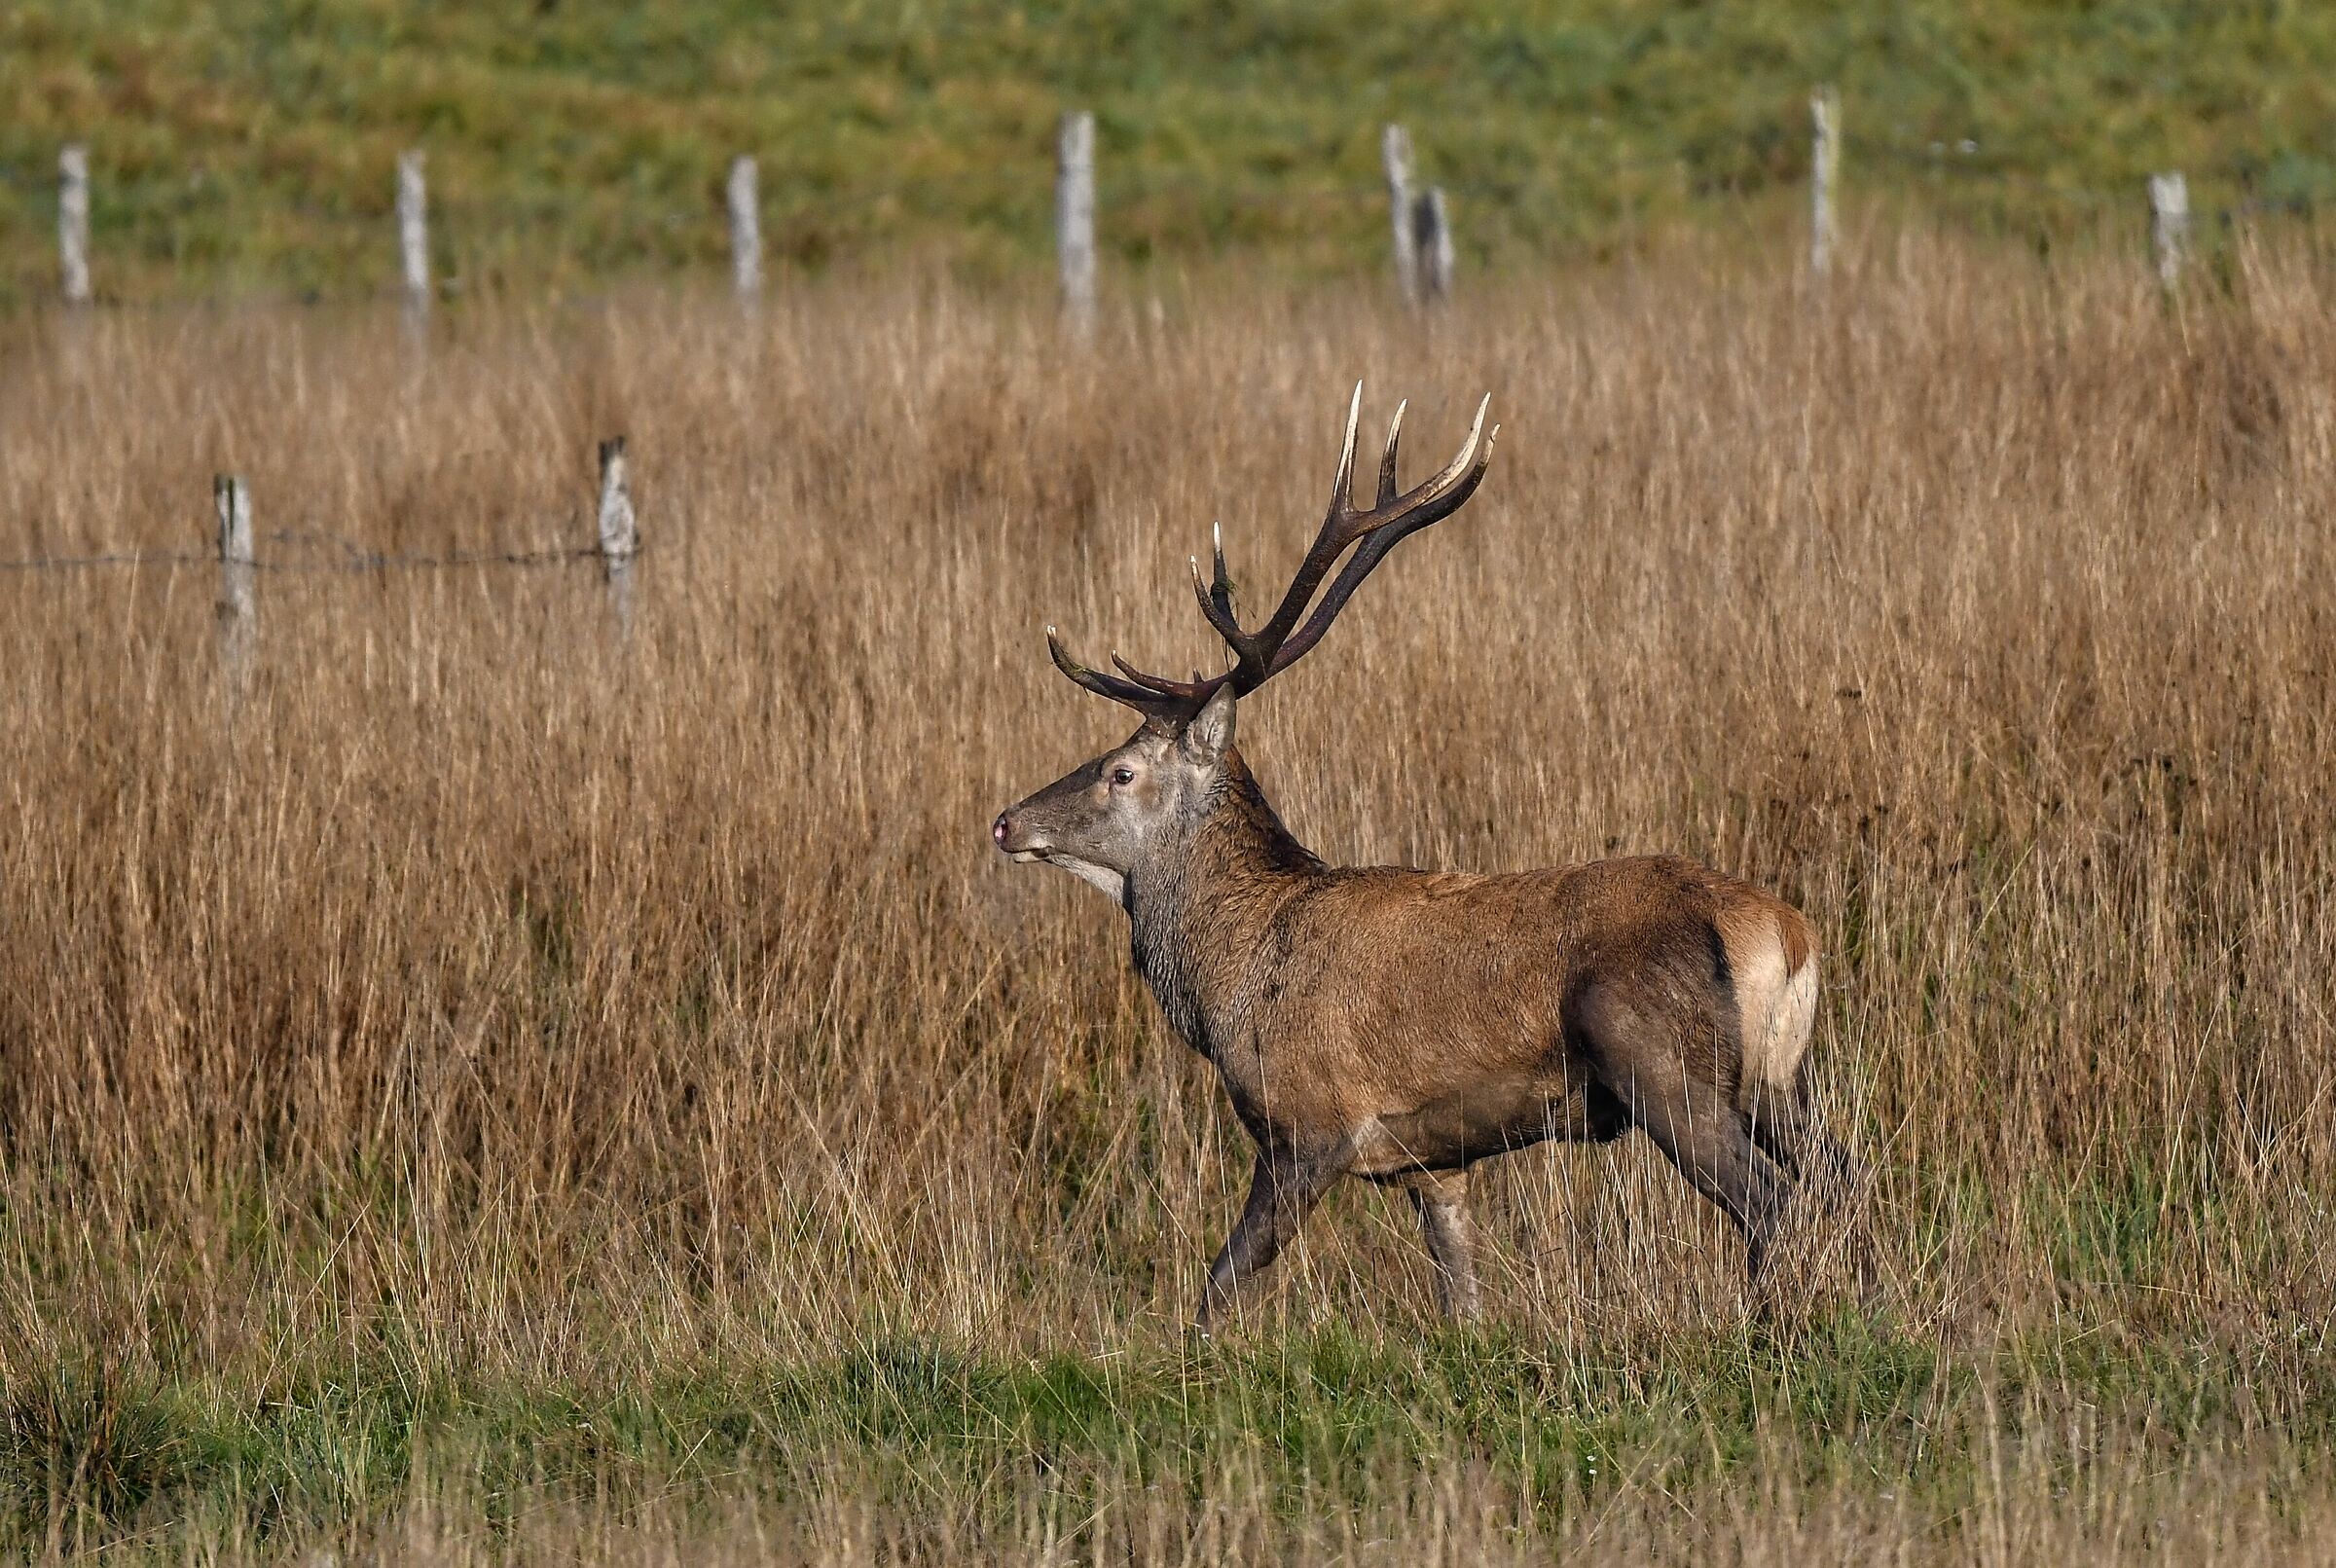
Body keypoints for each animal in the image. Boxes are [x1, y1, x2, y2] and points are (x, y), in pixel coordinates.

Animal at [991, 386, 1854, 1330]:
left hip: (1663, 1063)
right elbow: (1461, 1300)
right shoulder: (1430, 1163)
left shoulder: (1311, 1125)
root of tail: (1786, 935)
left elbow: (1220, 1286)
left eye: (1122, 770)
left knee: (1773, 1203)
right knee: (1842, 1179)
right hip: (1783, 1079)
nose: (1006, 821)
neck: (1229, 987)